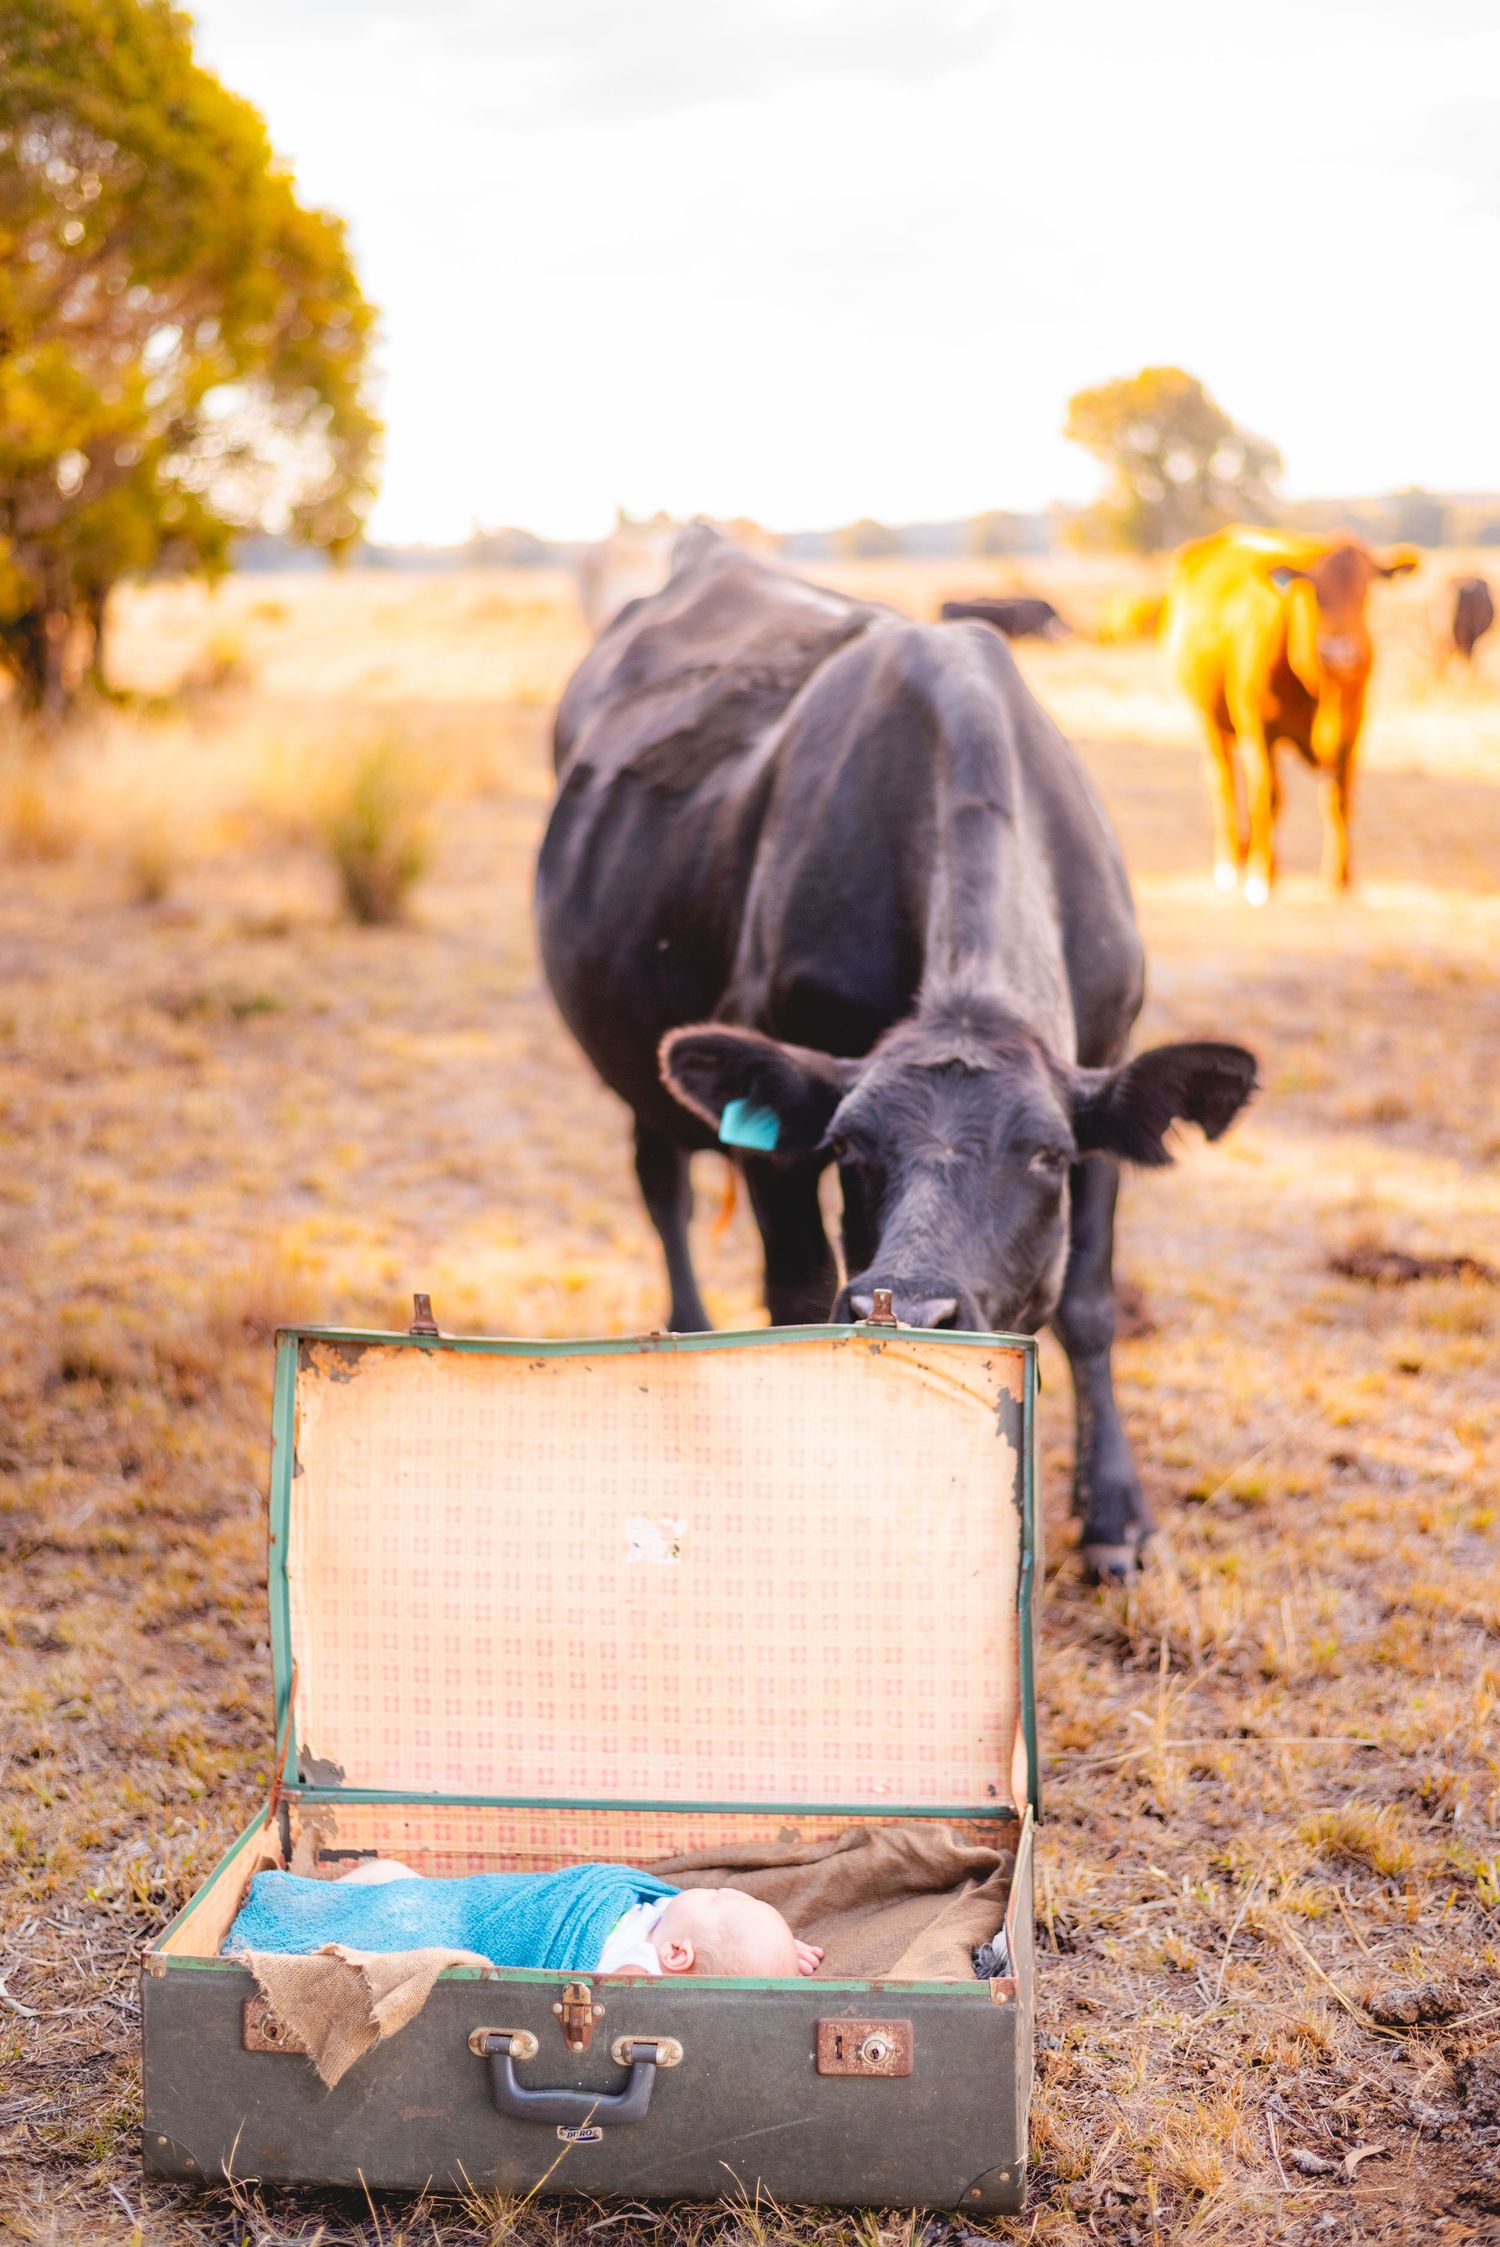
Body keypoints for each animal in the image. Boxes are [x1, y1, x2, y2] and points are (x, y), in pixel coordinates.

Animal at [1166, 526, 1418, 902]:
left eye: (1366, 588)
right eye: (1314, 589)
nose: (1340, 655)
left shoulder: (1353, 727)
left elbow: (1339, 799)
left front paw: (1339, 879)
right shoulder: (1258, 727)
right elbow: (1268, 797)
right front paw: (1263, 876)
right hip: (1210, 720)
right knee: (1226, 784)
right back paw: (1231, 861)